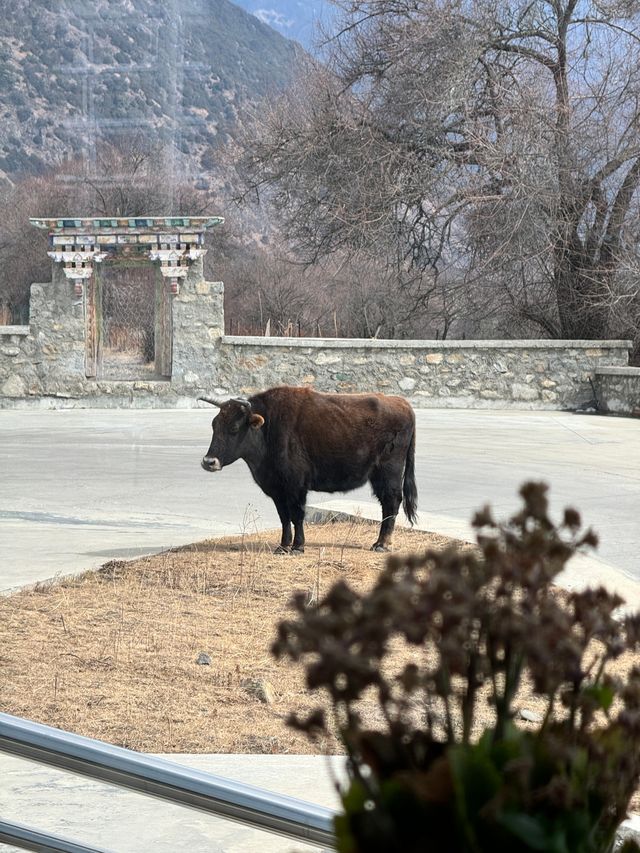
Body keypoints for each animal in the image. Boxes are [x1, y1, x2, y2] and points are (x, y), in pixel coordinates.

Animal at [201, 386, 420, 552]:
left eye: (234, 428)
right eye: (214, 425)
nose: (208, 461)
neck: (268, 428)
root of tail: (403, 404)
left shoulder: (296, 486)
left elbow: (297, 515)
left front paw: (298, 547)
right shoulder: (277, 490)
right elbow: (284, 517)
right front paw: (282, 547)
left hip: (389, 472)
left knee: (391, 502)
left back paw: (381, 544)